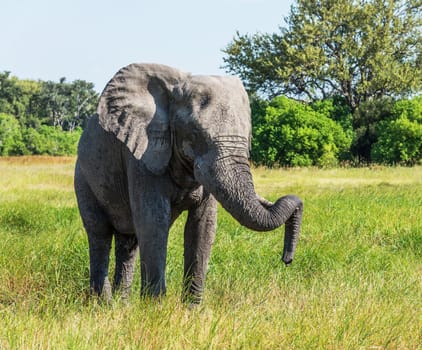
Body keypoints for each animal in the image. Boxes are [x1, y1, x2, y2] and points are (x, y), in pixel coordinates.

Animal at [73, 63, 304, 304]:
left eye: (248, 135)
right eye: (195, 133)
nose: (287, 259)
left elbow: (202, 226)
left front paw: (191, 309)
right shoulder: (142, 157)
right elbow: (154, 222)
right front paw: (155, 308)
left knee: (128, 242)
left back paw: (122, 304)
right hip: (83, 177)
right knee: (99, 234)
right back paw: (105, 304)